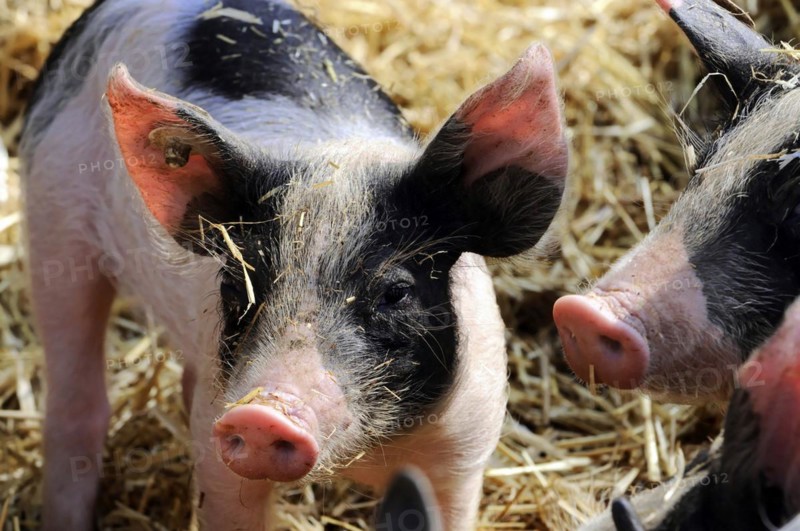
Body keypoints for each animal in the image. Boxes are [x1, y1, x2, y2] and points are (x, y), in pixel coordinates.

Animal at [19, 0, 569, 529]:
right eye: (236, 287)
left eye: (395, 291)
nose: (263, 414)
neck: (362, 454)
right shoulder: (218, 445)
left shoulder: (463, 448)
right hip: (52, 215)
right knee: (77, 403)